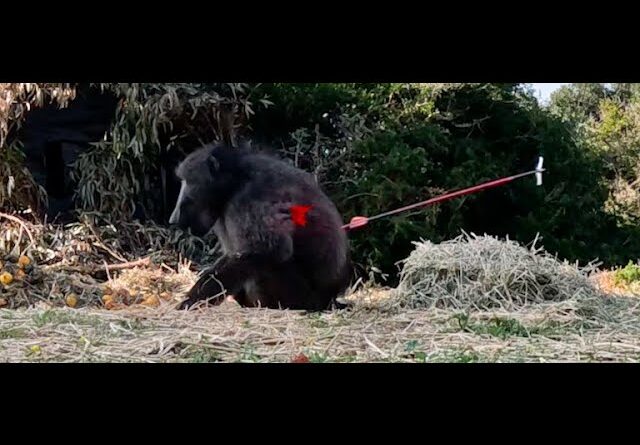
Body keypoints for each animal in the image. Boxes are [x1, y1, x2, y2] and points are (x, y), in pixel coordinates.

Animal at [169, 142, 352, 311]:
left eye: (187, 181)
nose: (173, 219)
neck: (236, 179)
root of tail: (329, 300)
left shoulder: (249, 198)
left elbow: (269, 250)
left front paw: (192, 301)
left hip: (300, 297)